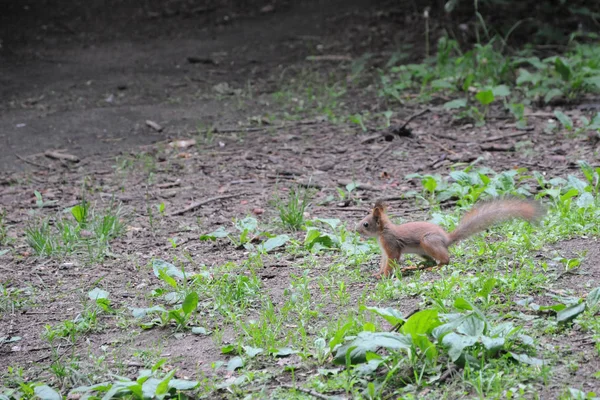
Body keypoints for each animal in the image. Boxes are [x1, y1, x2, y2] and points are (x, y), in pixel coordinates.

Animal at [356, 197, 548, 278]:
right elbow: (383, 262)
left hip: (428, 241)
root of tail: (446, 240)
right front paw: (378, 273)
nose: (355, 229)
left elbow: (391, 261)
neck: (383, 232)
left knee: (445, 260)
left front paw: (383, 276)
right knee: (430, 261)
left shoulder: (391, 245)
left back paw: (434, 268)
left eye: (365, 224)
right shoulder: (384, 250)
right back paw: (414, 267)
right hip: (422, 251)